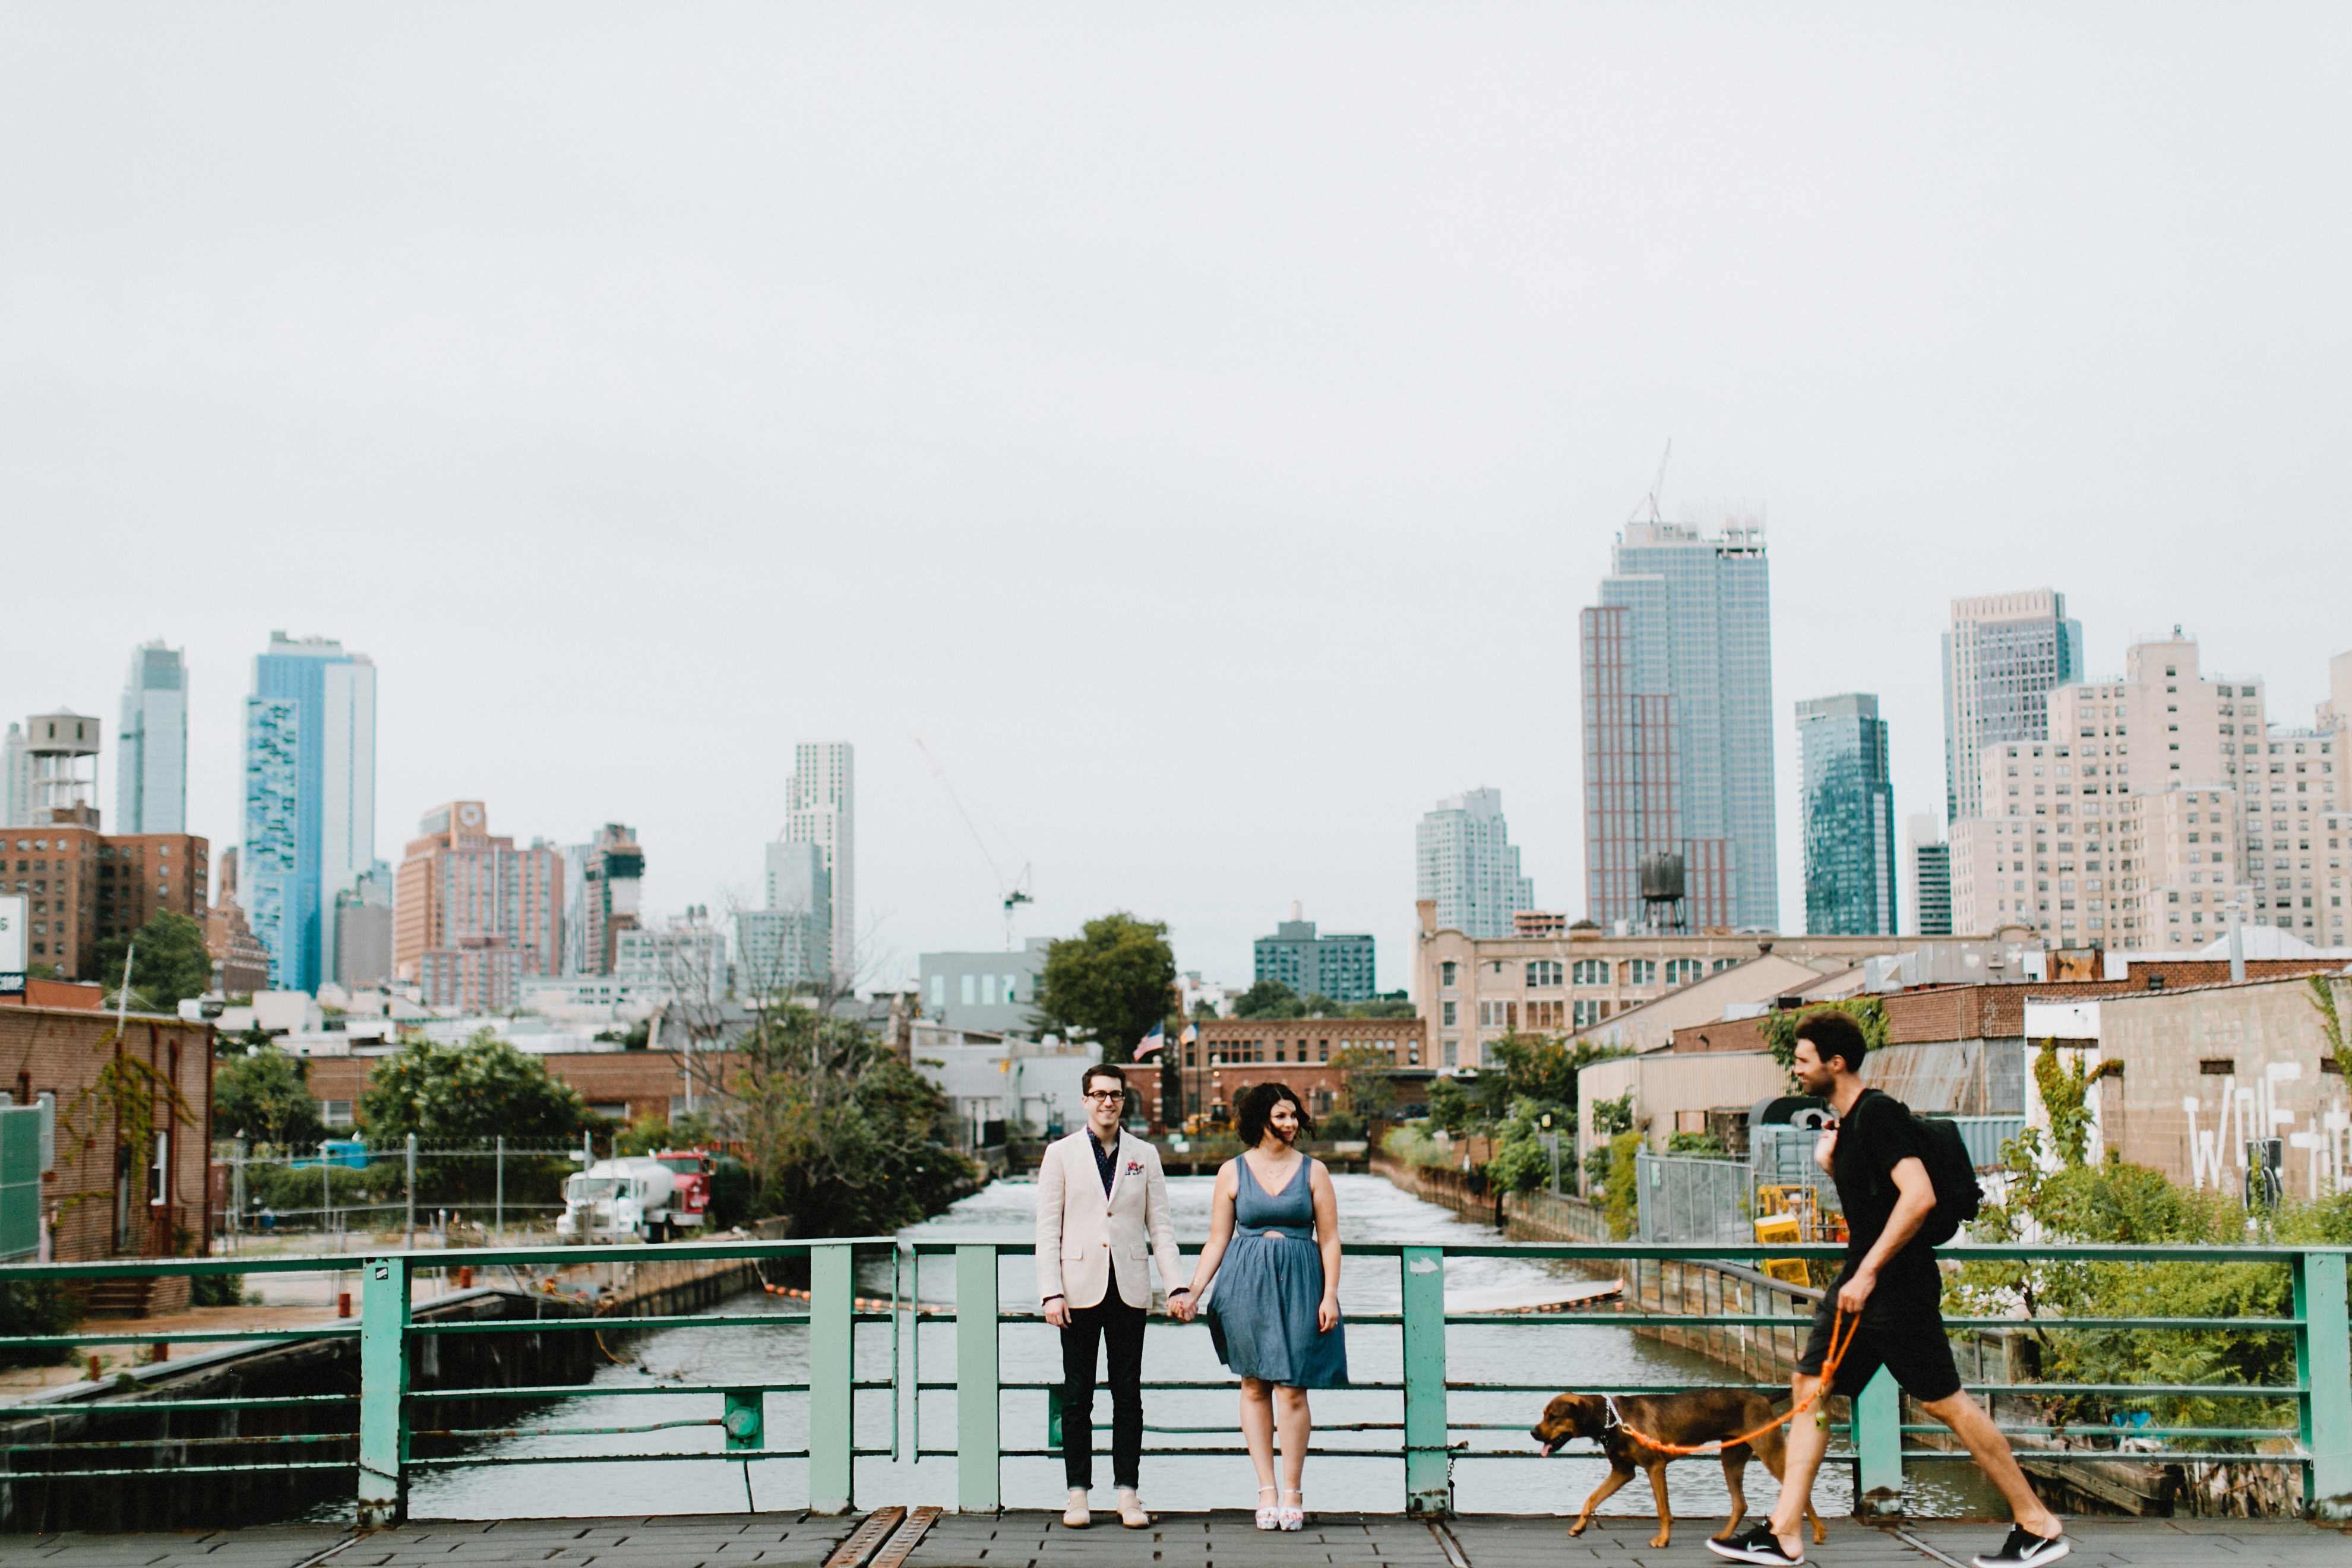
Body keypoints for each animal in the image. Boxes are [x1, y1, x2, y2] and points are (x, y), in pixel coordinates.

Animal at [1524, 1392, 1834, 1551]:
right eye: (1543, 1415)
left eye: (1554, 1417)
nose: (1533, 1433)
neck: (1613, 1419)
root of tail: (1763, 1398)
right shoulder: (1623, 1472)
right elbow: (1591, 1498)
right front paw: (1579, 1526)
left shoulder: (1654, 1467)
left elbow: (1663, 1510)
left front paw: (1663, 1540)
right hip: (1731, 1458)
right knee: (1740, 1504)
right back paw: (1723, 1537)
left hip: (1769, 1451)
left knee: (1799, 1489)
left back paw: (1820, 1533)